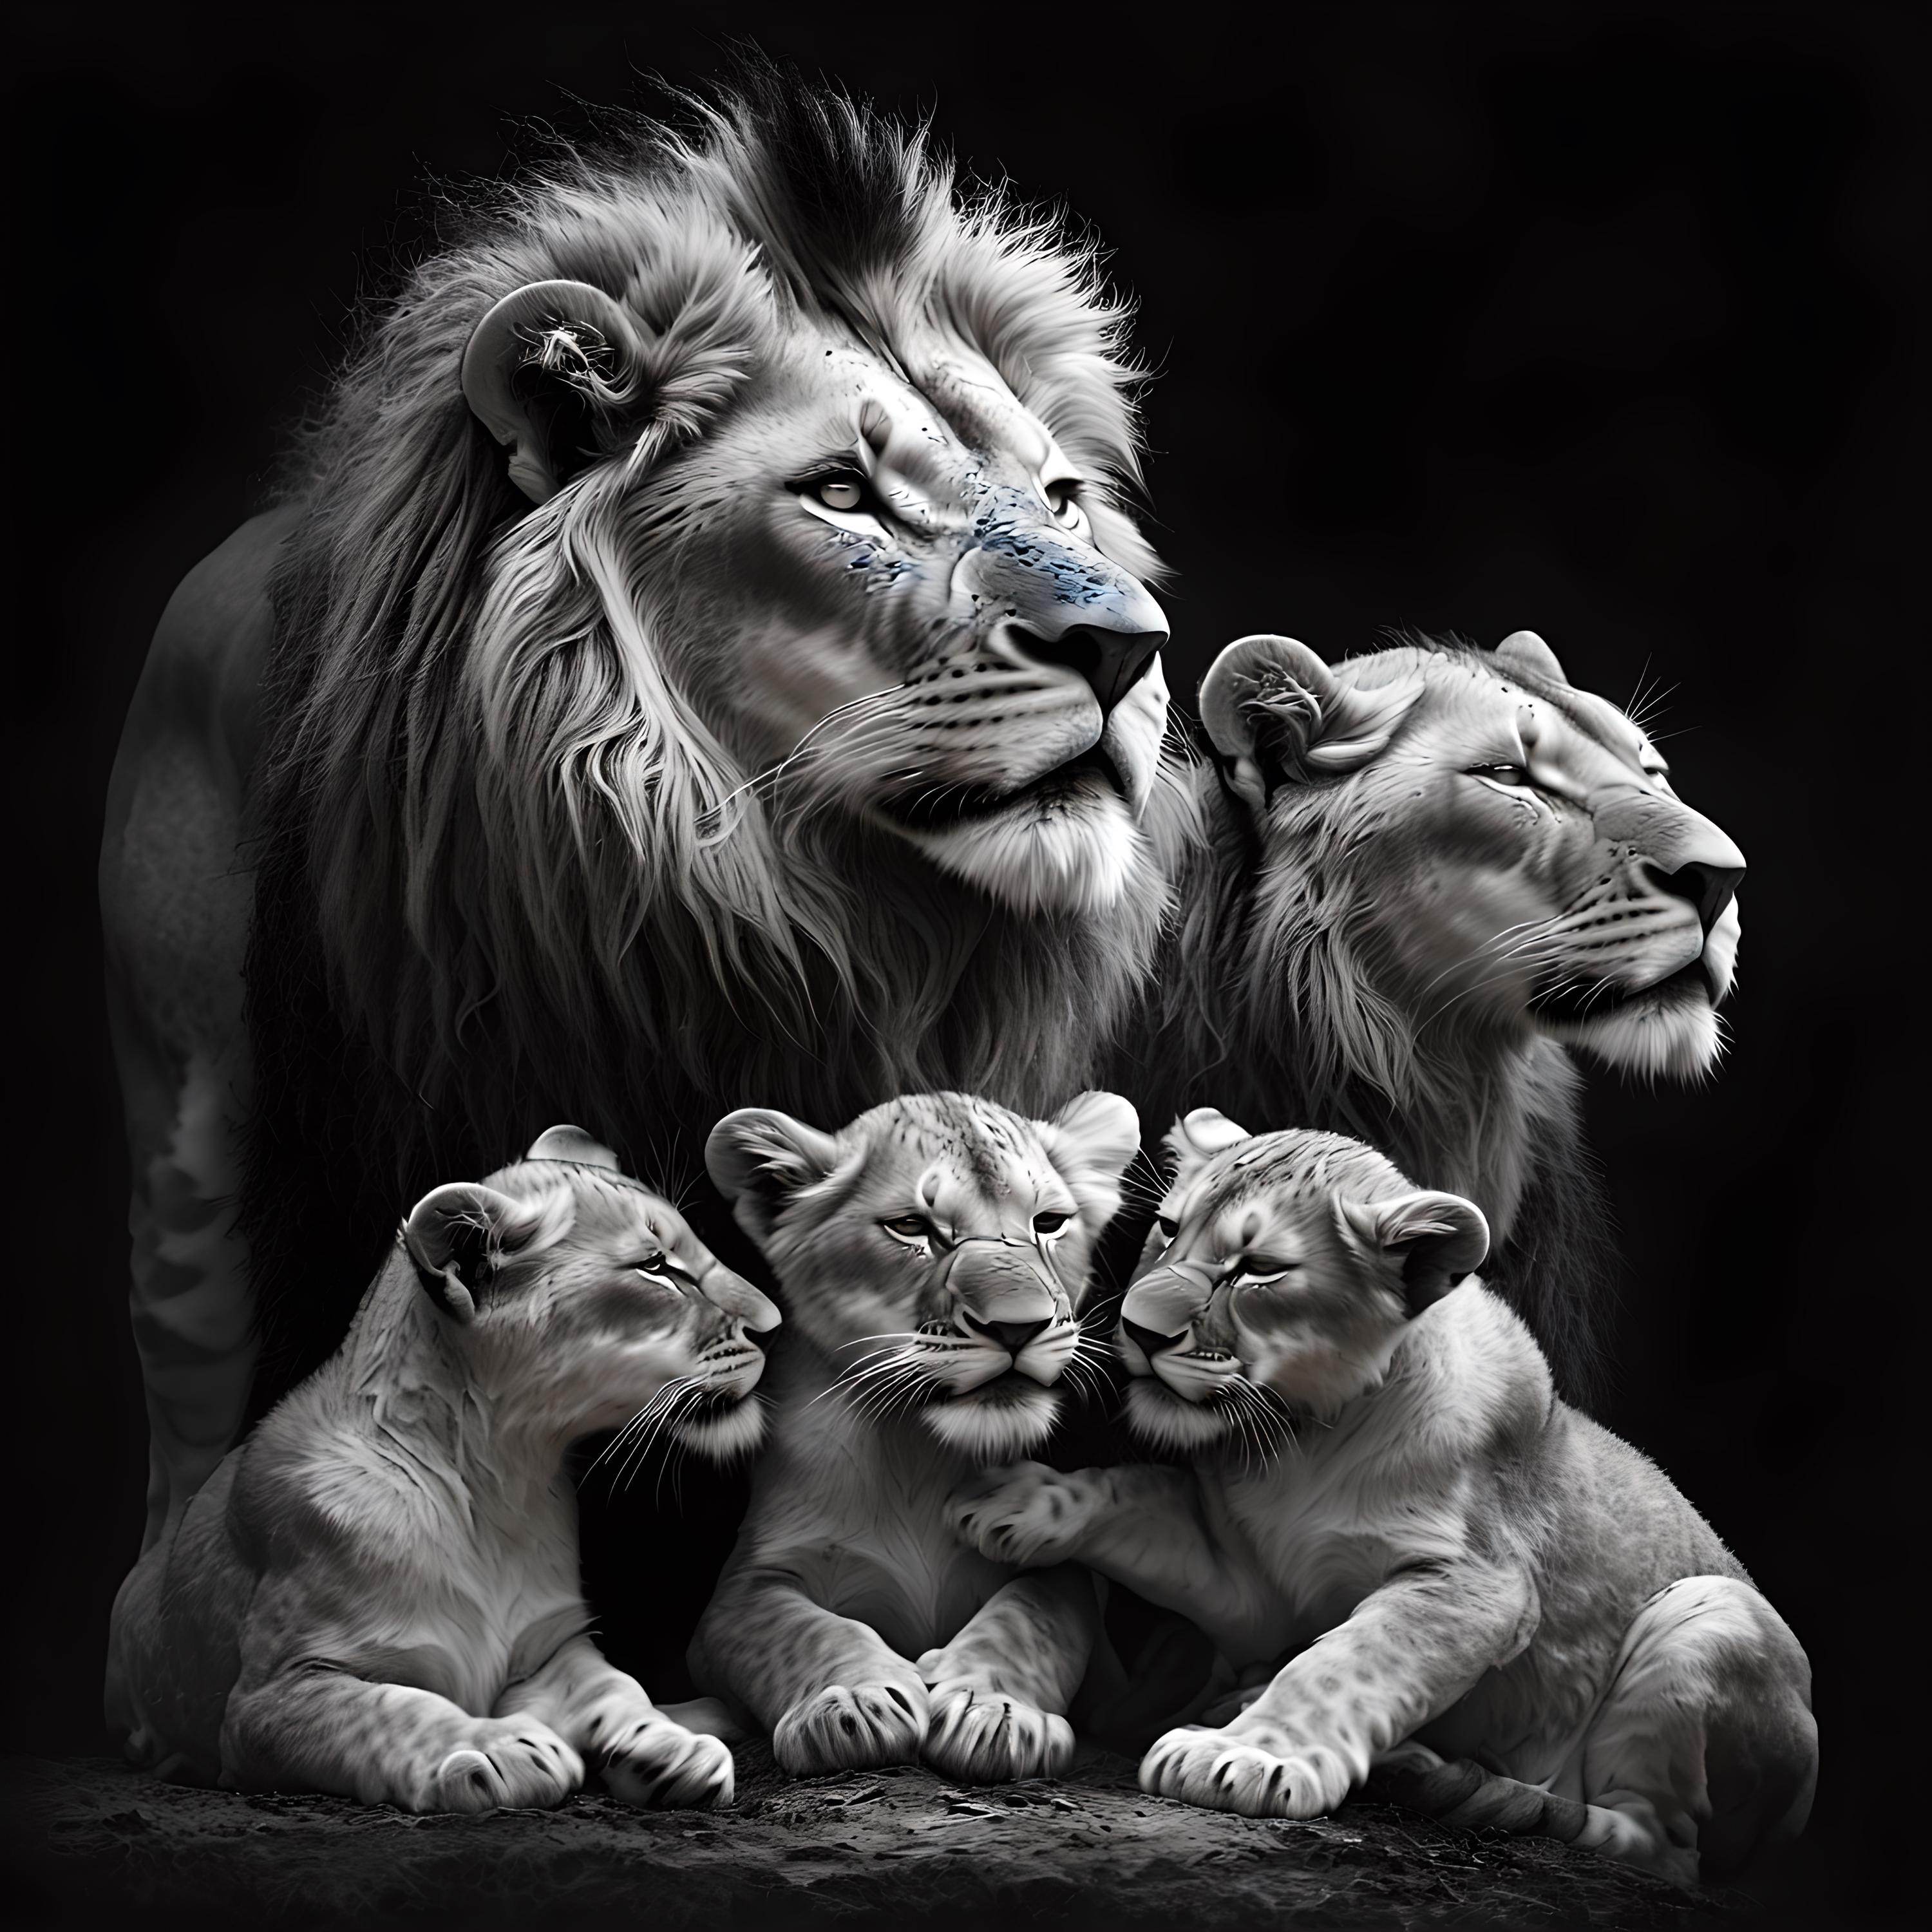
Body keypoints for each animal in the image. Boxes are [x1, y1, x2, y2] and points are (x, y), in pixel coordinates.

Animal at [105, 1127, 779, 1811]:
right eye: (656, 1267)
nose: (774, 1325)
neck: (499, 1482)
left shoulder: (549, 1645)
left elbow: (614, 1686)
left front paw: (670, 1746)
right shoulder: (270, 1696)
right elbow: (390, 1709)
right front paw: (501, 1749)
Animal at [689, 1089, 1138, 1783]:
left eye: (1049, 1222)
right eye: (910, 1227)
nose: (1019, 1328)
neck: (916, 1451)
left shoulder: (1062, 1572)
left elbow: (1031, 1615)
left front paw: (995, 1713)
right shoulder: (737, 1593)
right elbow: (795, 1627)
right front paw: (850, 1704)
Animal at [953, 1112, 1816, 1886]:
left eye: (1259, 1268)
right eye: (1167, 1231)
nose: (1137, 1329)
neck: (1298, 1442)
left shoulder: (1476, 1586)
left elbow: (1346, 1662)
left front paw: (1243, 1757)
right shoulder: (1249, 1586)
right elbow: (1136, 1493)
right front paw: (1016, 1500)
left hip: (1713, 1616)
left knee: (1663, 1846)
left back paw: (1477, 1789)